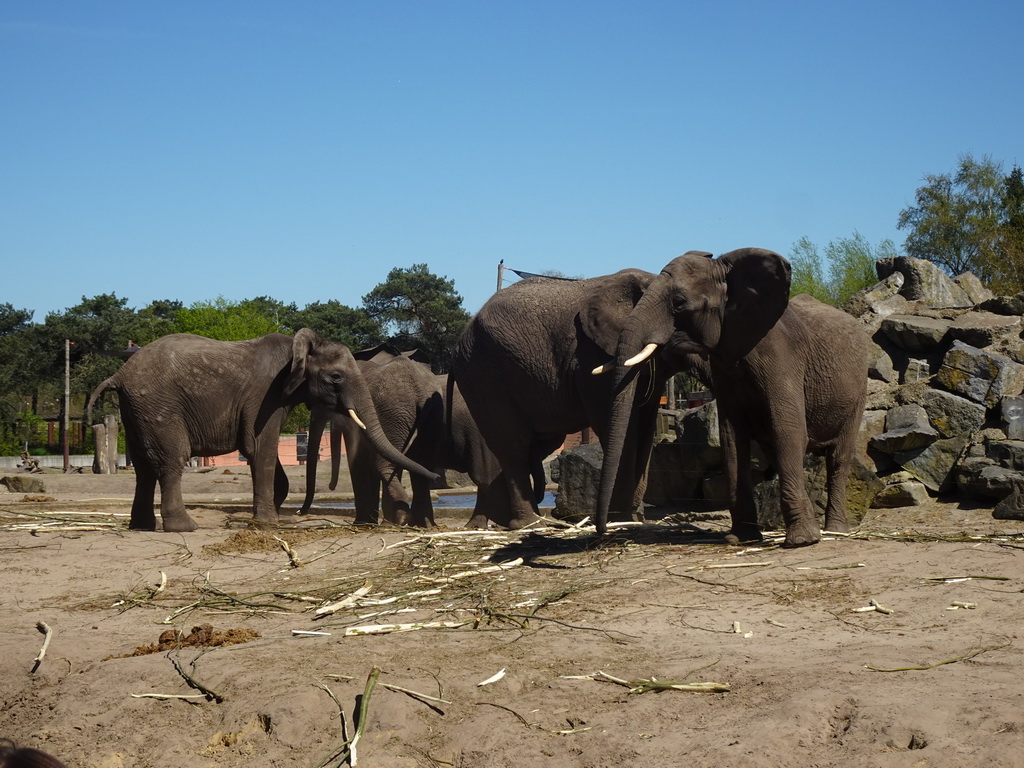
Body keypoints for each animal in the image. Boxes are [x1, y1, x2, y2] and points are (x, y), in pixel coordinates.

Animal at [87, 331, 436, 536]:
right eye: (336, 377)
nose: (302, 512)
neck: (299, 347)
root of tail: (119, 375)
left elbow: (263, 451)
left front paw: (270, 516)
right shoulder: (265, 395)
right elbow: (261, 448)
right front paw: (269, 523)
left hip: (137, 409)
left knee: (143, 468)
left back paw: (142, 526)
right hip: (159, 406)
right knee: (171, 461)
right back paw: (184, 527)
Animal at [598, 250, 868, 548]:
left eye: (679, 303)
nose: (604, 530)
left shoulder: (781, 355)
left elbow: (788, 427)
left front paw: (801, 541)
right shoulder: (724, 362)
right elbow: (731, 437)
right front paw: (740, 539)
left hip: (858, 390)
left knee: (839, 458)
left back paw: (836, 531)